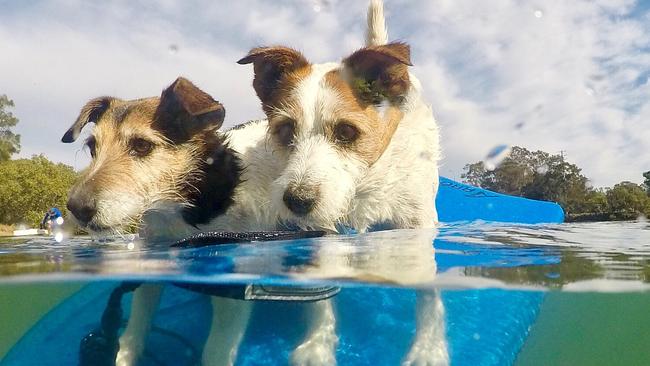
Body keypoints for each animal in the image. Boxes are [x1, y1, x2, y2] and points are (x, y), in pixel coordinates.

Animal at [237, 0, 446, 364]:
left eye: (347, 131)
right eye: (285, 130)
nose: (297, 201)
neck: (366, 184)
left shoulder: (419, 227)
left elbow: (427, 289)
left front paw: (428, 350)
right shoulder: (324, 231)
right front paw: (317, 346)